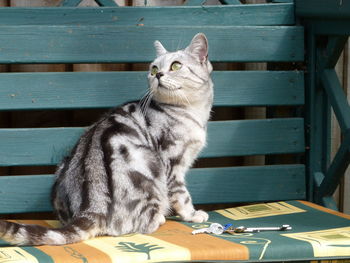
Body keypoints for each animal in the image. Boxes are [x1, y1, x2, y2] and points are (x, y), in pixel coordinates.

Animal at [0, 33, 213, 248]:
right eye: (154, 68)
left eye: (176, 66)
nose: (158, 74)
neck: (192, 111)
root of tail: (92, 208)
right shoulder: (172, 163)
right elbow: (181, 195)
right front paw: (193, 214)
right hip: (150, 162)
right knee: (144, 225)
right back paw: (160, 218)